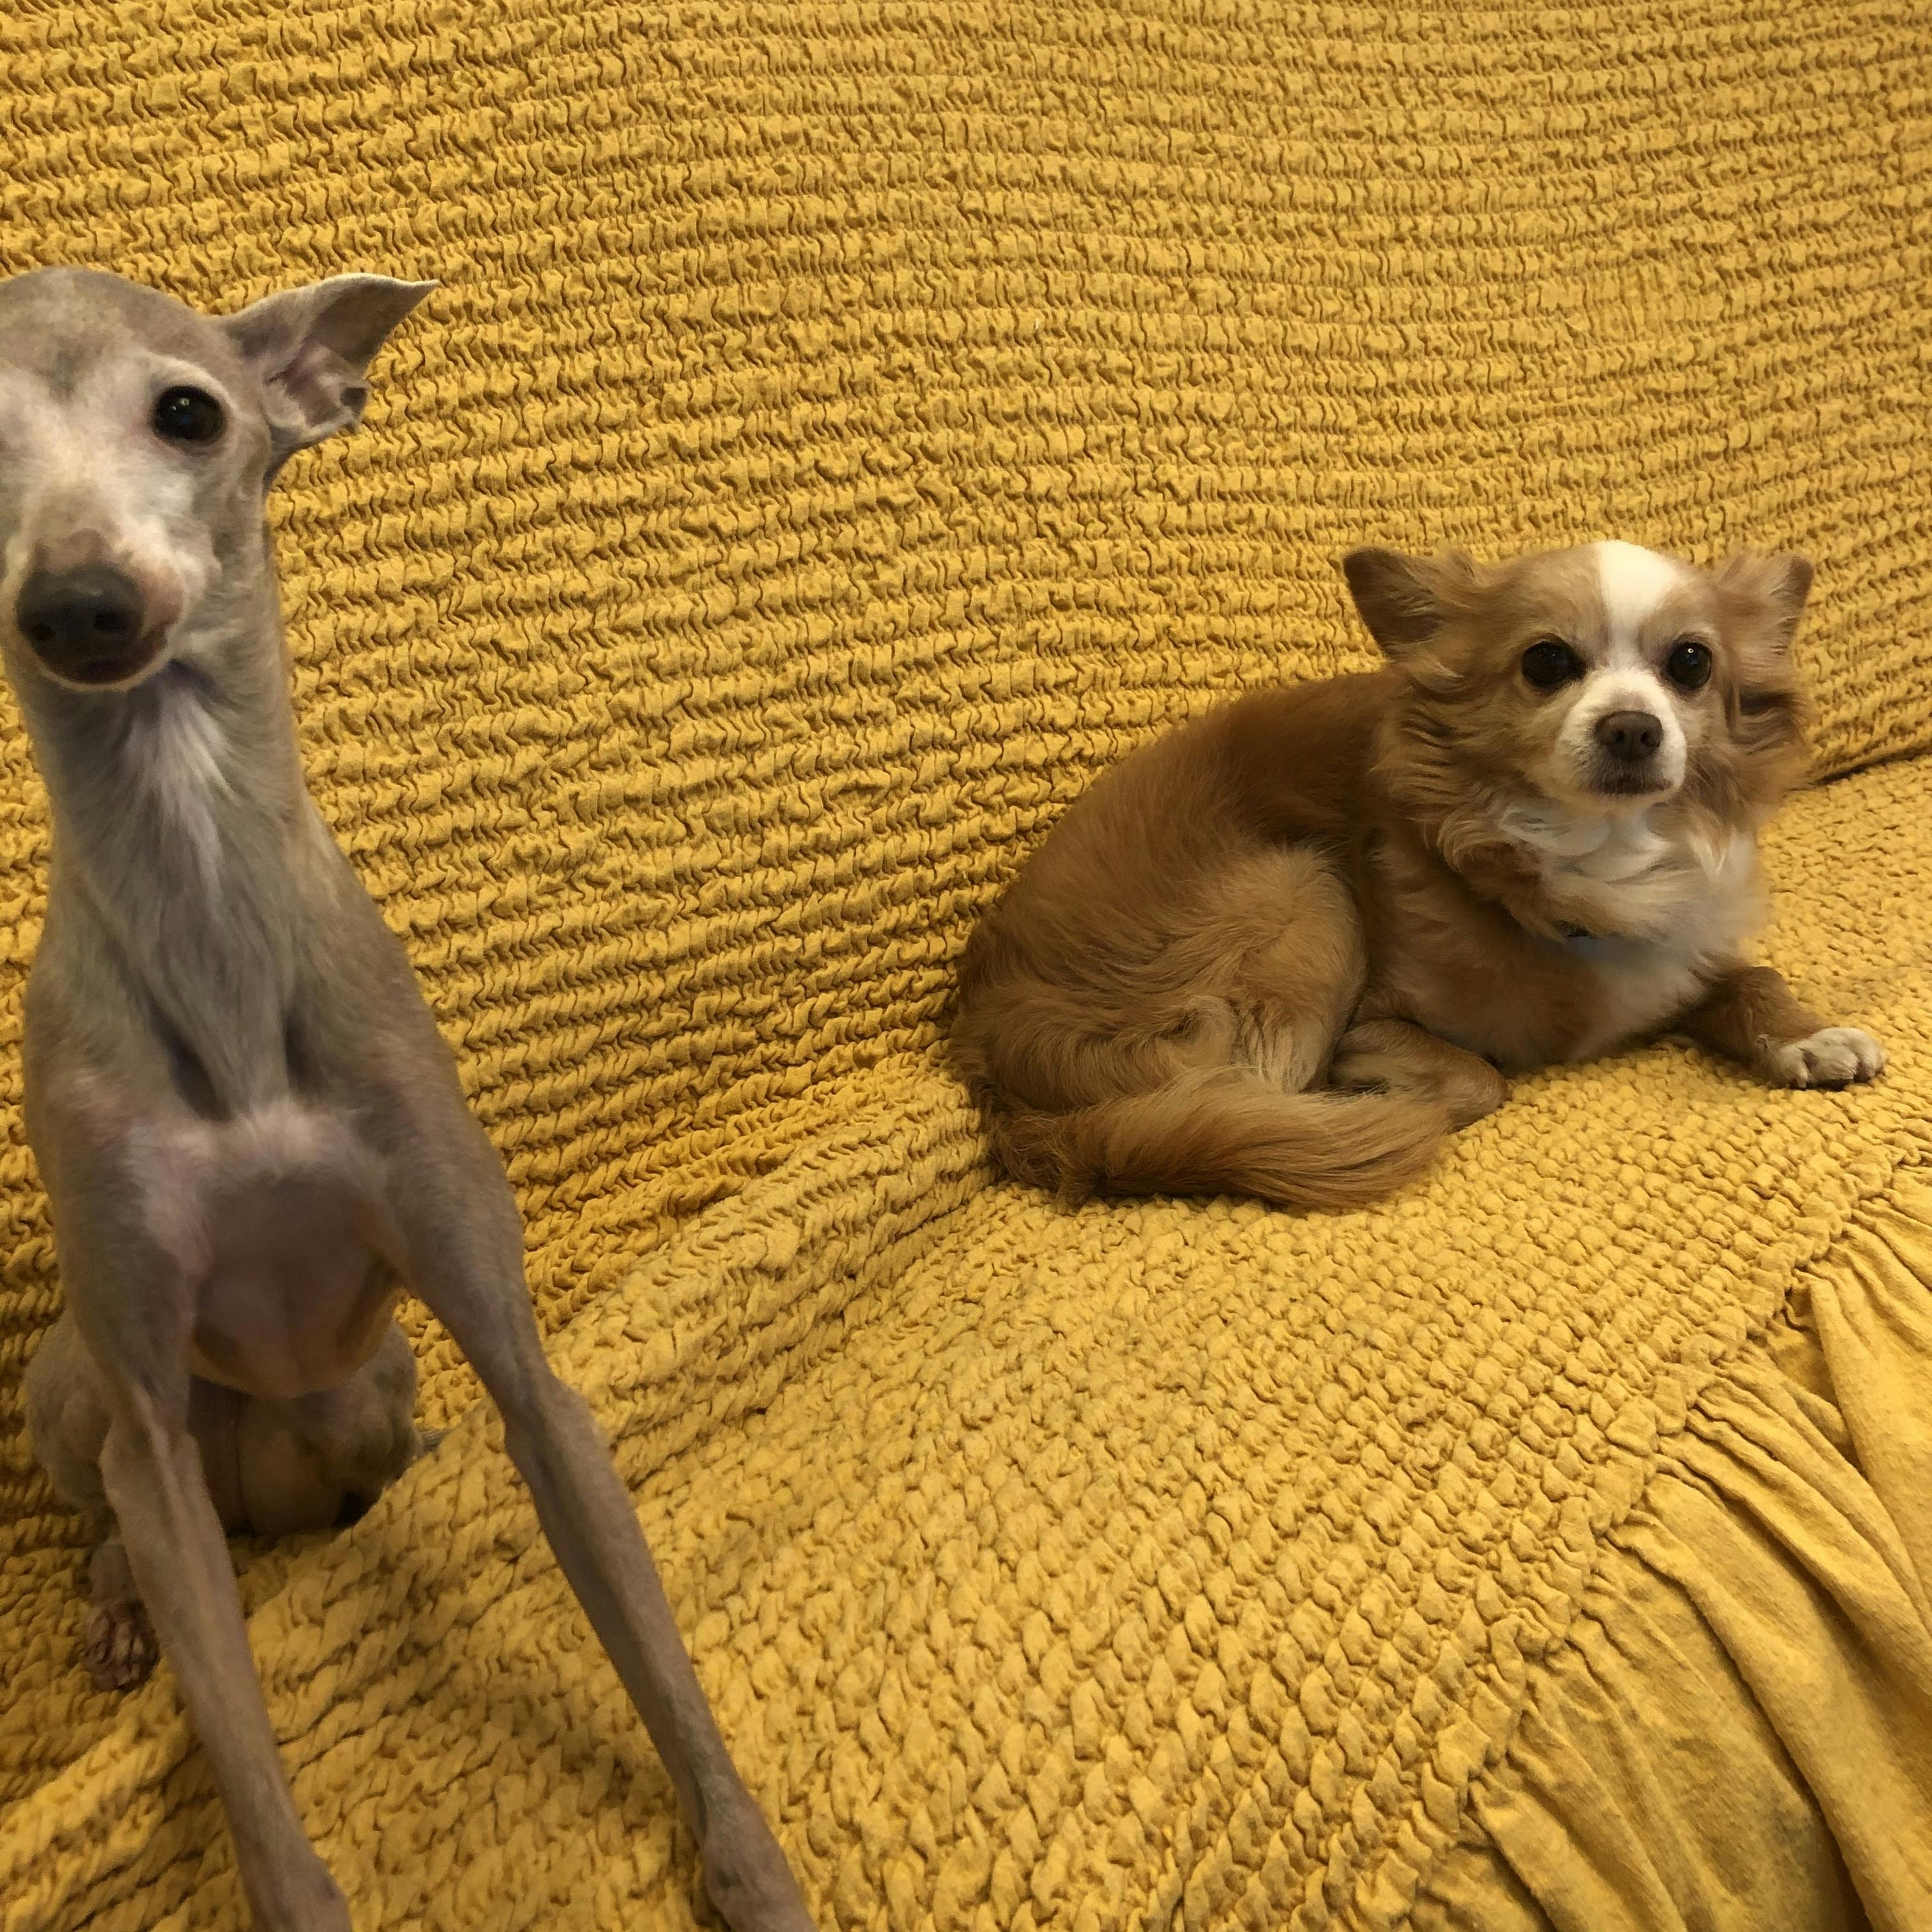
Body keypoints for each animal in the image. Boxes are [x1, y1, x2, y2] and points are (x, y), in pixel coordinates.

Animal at [4, 269, 813, 1932]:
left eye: (187, 411)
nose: (80, 606)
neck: (208, 921)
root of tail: (270, 1505)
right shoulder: (147, 1412)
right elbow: (252, 1782)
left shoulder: (514, 1356)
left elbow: (657, 1658)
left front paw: (753, 1872)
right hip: (83, 1398)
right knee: (118, 1521)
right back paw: (117, 1615)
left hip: (371, 1393)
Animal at [952, 540, 1885, 1210]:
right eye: (1546, 663)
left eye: (1692, 663)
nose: (1631, 727)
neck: (1590, 858)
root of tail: (988, 1040)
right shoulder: (1377, 1020)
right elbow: (1480, 1078)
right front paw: (1392, 1091)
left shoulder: (1676, 950)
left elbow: (1751, 977)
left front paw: (1808, 1034)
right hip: (1304, 895)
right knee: (1241, 1101)